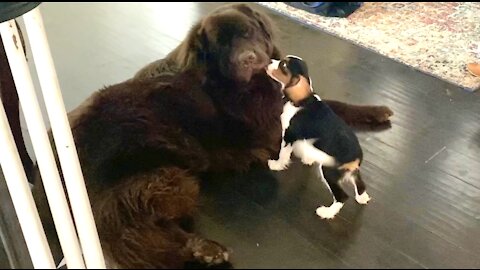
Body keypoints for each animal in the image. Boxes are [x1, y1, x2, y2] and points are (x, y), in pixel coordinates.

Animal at [26, 3, 392, 268]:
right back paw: (205, 249)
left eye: (248, 33)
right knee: (132, 233)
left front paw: (375, 111)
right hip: (163, 179)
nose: (249, 58)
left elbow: (326, 101)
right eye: (222, 46)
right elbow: (325, 108)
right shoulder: (272, 126)